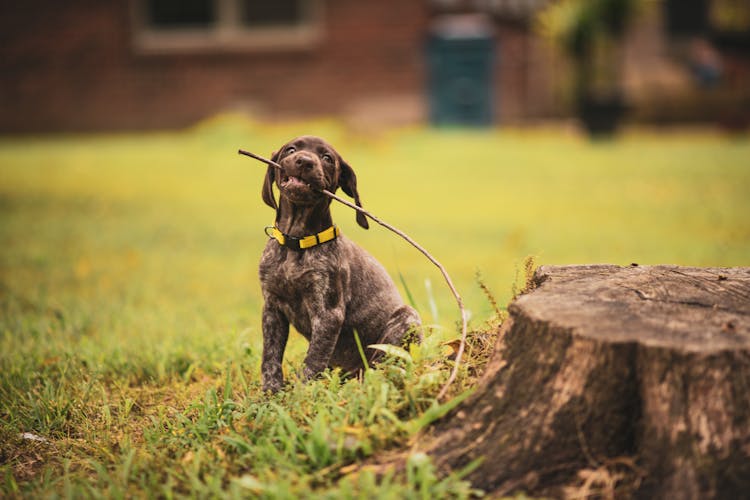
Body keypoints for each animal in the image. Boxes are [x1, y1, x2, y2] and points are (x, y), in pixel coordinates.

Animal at [260, 135, 424, 392]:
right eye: (291, 149)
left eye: (327, 158)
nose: (305, 161)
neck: (297, 244)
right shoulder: (272, 308)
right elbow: (270, 357)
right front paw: (270, 393)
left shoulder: (328, 314)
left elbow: (313, 360)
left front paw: (300, 395)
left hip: (407, 319)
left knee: (379, 366)